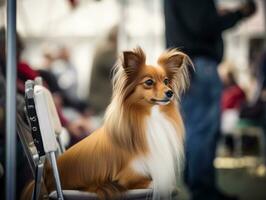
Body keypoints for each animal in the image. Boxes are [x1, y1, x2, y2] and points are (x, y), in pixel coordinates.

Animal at [20, 47, 191, 200]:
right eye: (149, 82)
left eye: (167, 81)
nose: (170, 92)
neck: (150, 117)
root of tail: (47, 174)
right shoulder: (128, 177)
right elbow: (154, 182)